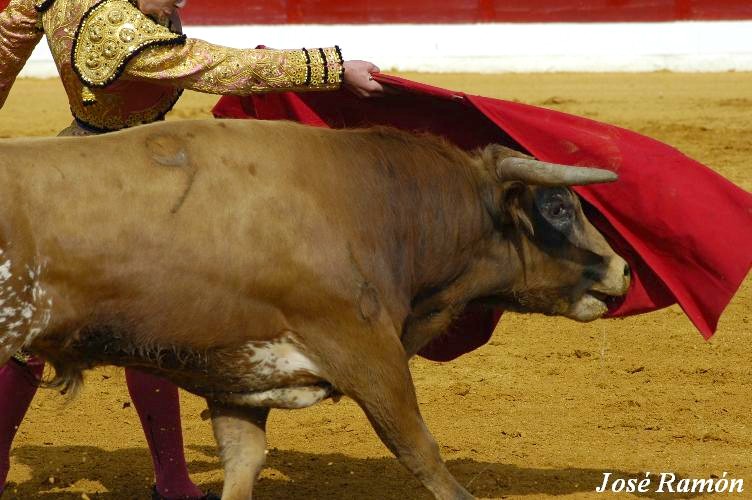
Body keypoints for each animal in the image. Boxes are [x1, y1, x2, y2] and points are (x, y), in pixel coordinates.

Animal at [0, 120, 628, 500]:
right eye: (558, 206)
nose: (624, 270)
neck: (377, 208)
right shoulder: (370, 356)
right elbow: (423, 454)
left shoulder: (235, 381)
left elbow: (243, 463)